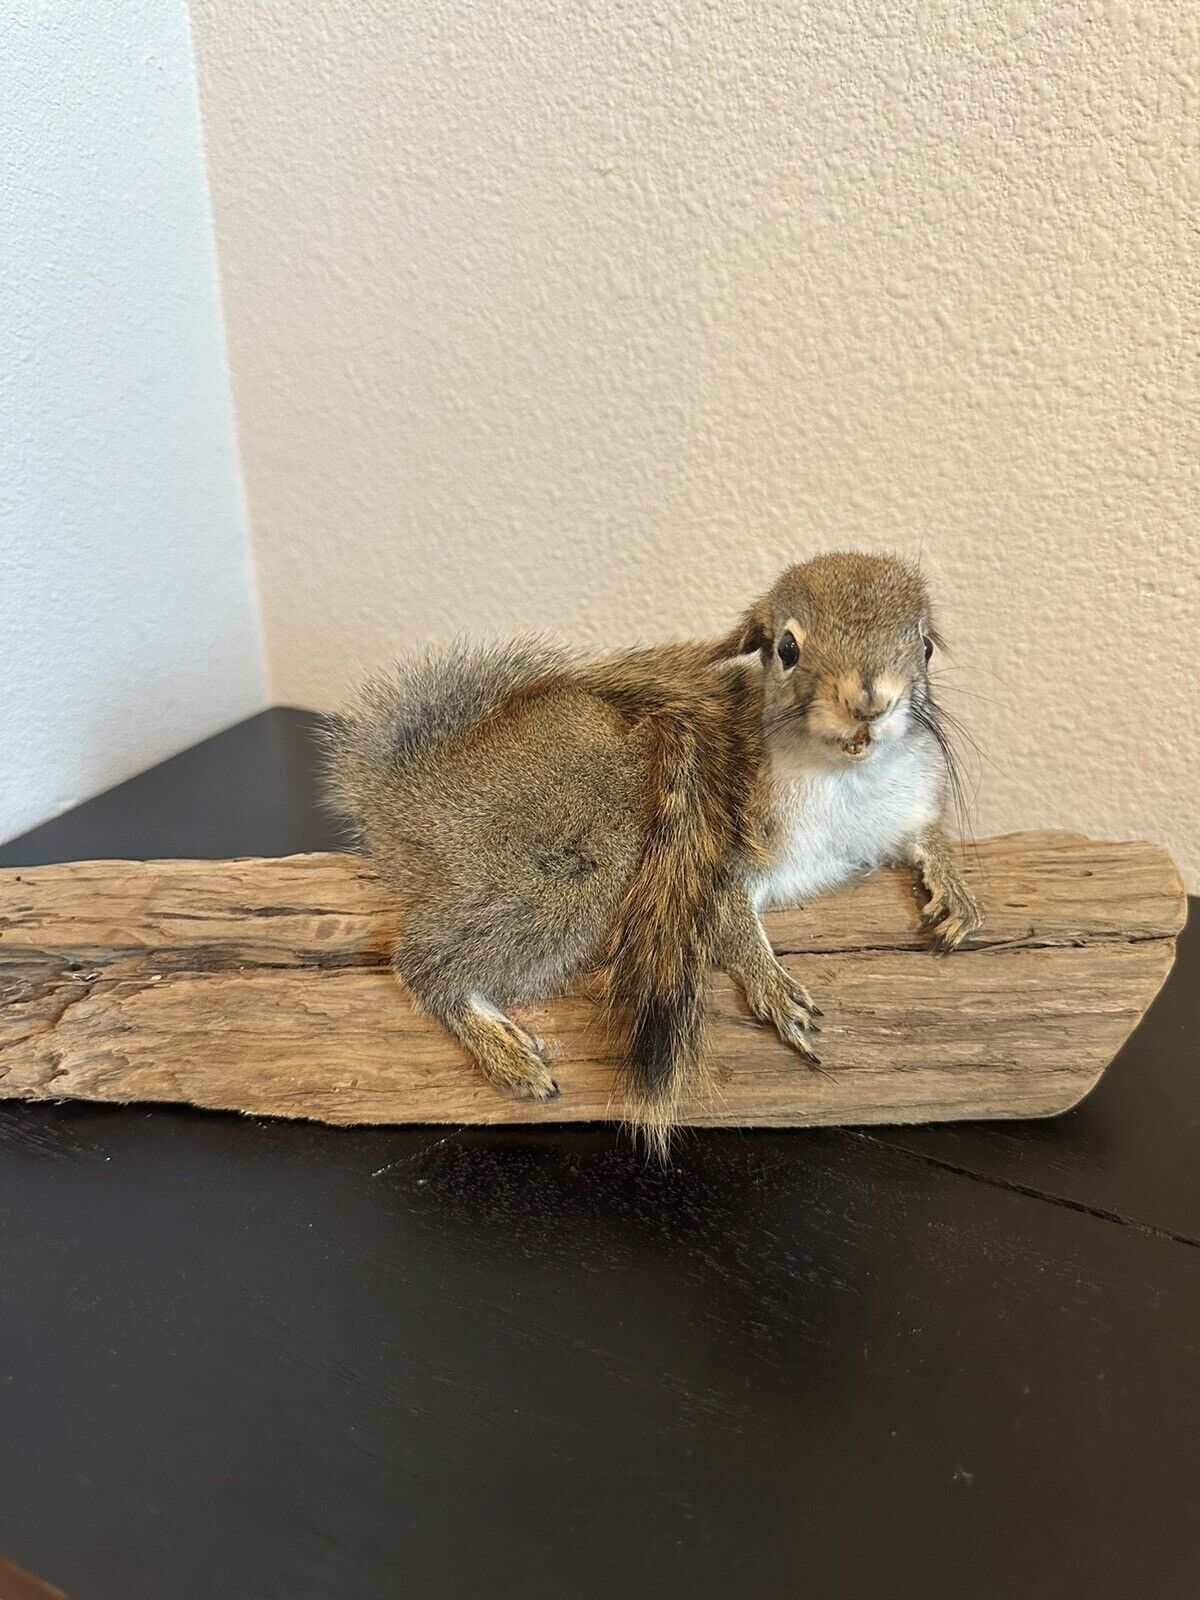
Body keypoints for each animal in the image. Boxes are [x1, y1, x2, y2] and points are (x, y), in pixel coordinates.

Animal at [322, 551, 982, 1151]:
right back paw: (498, 1046)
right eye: (787, 649)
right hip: (581, 860)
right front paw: (770, 982)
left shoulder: (900, 810)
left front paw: (954, 886)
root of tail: (409, 793)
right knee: (419, 961)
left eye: (924, 646)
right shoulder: (727, 845)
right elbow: (732, 919)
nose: (869, 701)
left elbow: (926, 835)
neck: (848, 776)